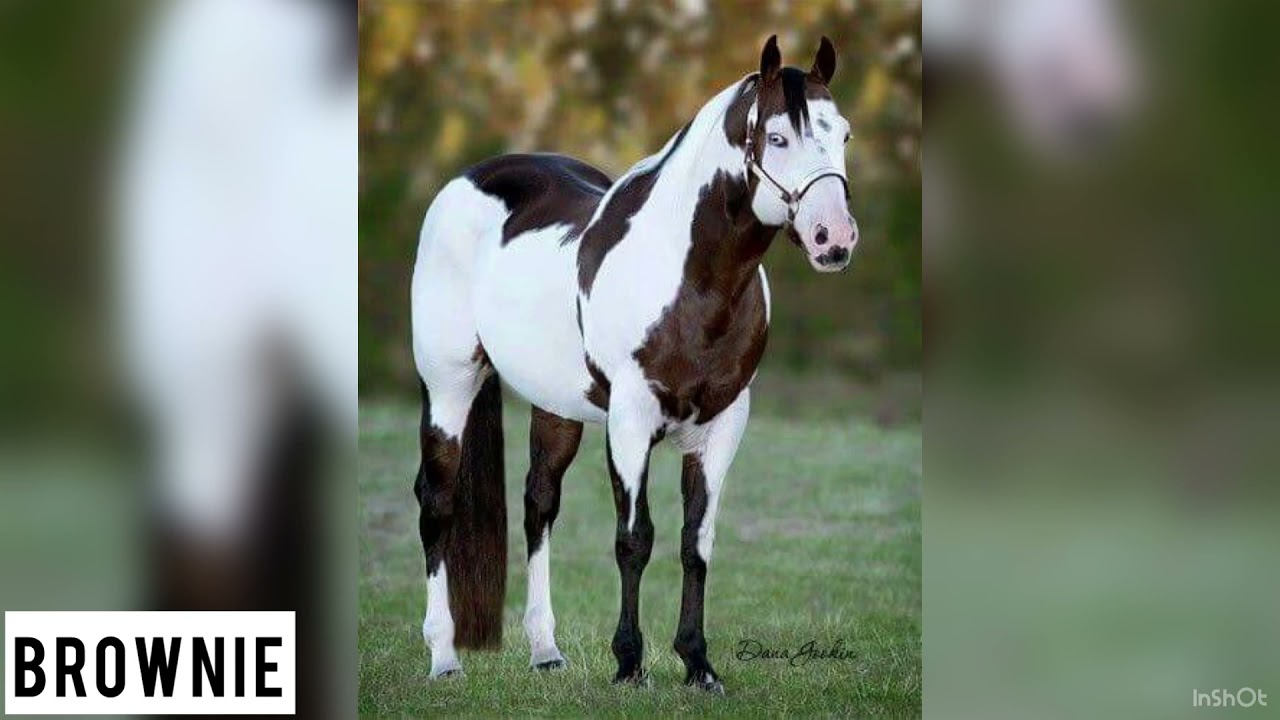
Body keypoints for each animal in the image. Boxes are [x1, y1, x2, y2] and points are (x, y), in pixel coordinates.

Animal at [410, 35, 858, 693]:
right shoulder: (630, 420)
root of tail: (468, 180)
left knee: (539, 506)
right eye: (777, 137)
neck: (690, 280)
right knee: (437, 503)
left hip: (556, 408)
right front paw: (629, 663)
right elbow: (634, 539)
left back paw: (546, 652)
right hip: (450, 385)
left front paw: (698, 665)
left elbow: (696, 541)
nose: (835, 239)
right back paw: (444, 658)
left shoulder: (723, 425)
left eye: (844, 134)